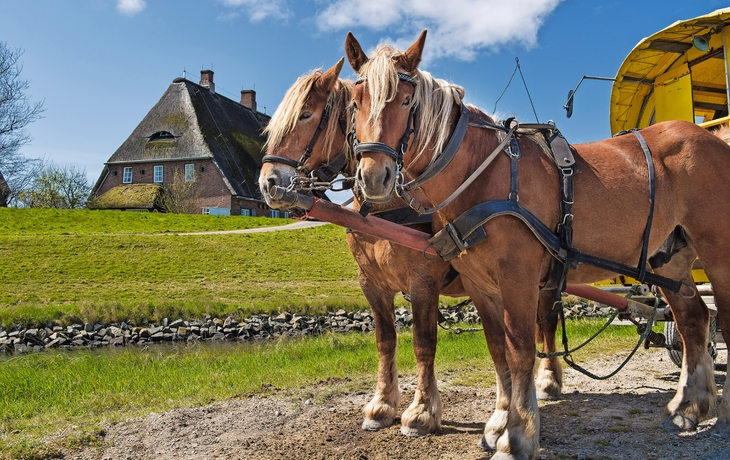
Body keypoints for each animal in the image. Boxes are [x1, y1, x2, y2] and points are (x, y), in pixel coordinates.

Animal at [257, 58, 565, 438]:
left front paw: (421, 411)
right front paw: (382, 405)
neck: (385, 212)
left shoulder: (423, 283)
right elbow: (385, 340)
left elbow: (423, 342)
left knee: (546, 324)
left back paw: (548, 380)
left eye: (306, 114)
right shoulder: (372, 284)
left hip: (540, 280)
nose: (268, 182)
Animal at [346, 29, 730, 459]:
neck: (484, 174)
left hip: (719, 251)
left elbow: (520, 352)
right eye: (354, 103)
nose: (373, 177)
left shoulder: (517, 279)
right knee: (694, 319)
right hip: (669, 260)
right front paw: (500, 423)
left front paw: (518, 434)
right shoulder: (480, 284)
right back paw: (689, 406)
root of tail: (713, 139)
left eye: (406, 101)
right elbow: (499, 350)